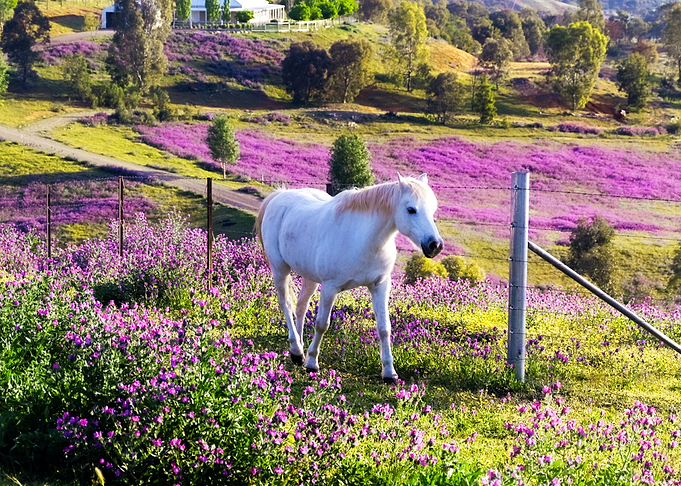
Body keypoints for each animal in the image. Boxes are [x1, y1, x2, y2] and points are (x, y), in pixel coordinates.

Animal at [255, 174, 443, 383]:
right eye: (411, 209)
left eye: (433, 209)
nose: (435, 245)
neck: (363, 240)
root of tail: (279, 195)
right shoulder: (330, 288)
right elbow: (322, 324)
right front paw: (312, 363)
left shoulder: (380, 286)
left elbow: (384, 328)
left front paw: (389, 373)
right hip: (280, 268)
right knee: (286, 304)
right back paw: (297, 350)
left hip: (310, 277)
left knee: (301, 306)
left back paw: (299, 351)